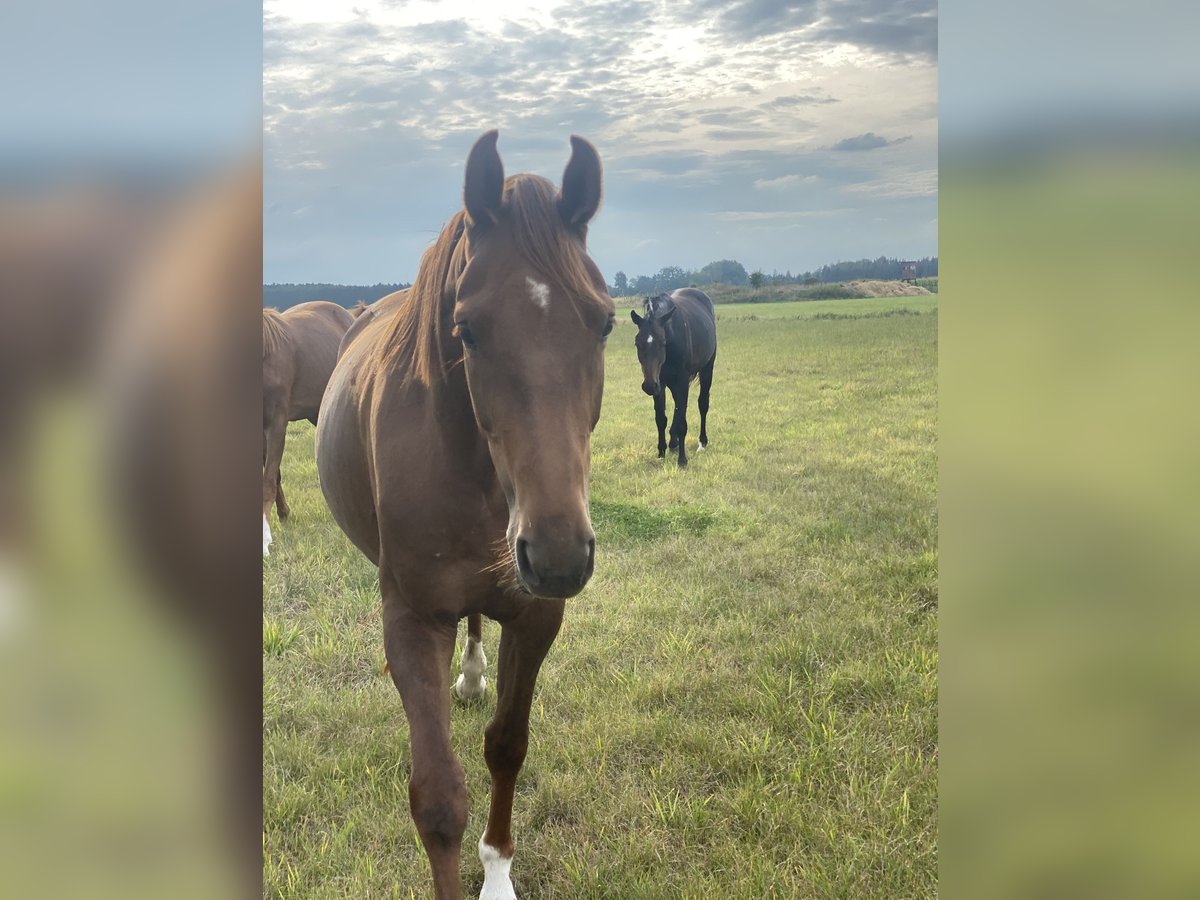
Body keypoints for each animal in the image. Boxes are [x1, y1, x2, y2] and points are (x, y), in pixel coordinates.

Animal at [314, 132, 614, 900]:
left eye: (604, 321)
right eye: (467, 330)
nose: (559, 554)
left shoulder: (537, 617)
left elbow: (507, 746)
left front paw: (499, 870)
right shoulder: (415, 620)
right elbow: (440, 798)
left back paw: (475, 674)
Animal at [633, 289, 715, 468]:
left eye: (663, 342)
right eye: (637, 343)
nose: (648, 386)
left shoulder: (681, 380)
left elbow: (682, 421)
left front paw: (682, 460)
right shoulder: (660, 382)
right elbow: (661, 418)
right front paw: (661, 452)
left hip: (707, 369)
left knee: (703, 404)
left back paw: (701, 443)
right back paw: (673, 443)